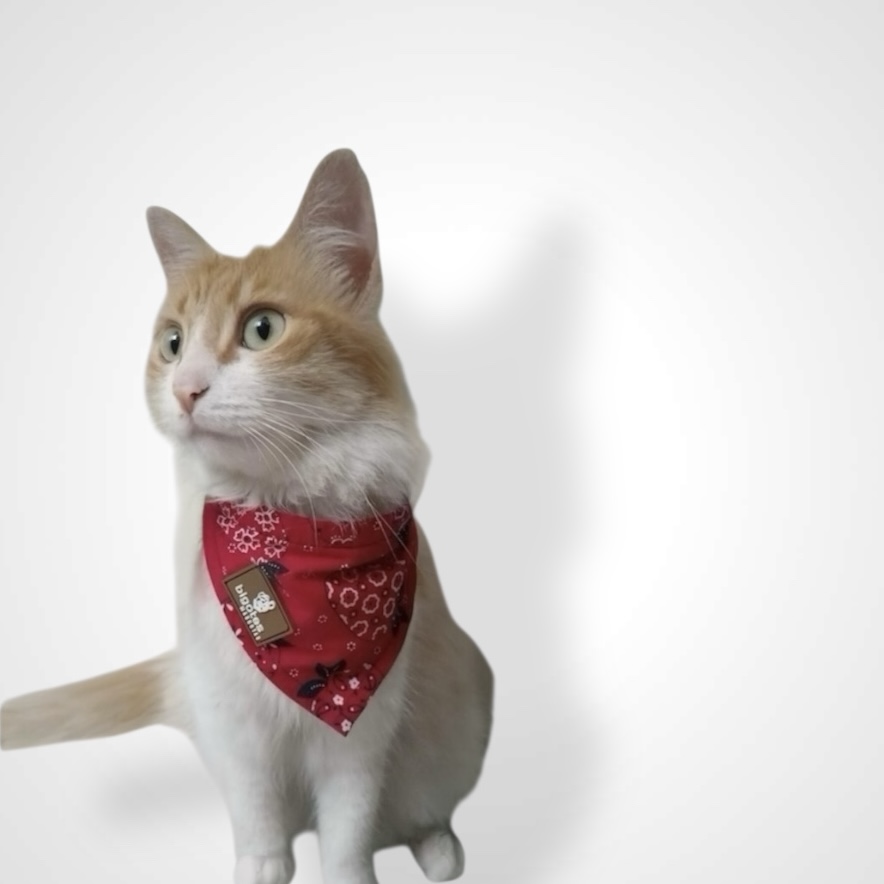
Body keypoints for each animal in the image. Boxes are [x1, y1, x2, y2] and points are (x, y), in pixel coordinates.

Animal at [0, 148, 493, 884]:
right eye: (173, 344)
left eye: (262, 329)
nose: (185, 389)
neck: (281, 529)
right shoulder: (234, 720)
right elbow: (257, 812)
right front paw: (262, 867)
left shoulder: (360, 733)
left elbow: (349, 832)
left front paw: (348, 879)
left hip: (460, 712)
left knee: (418, 813)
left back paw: (441, 852)